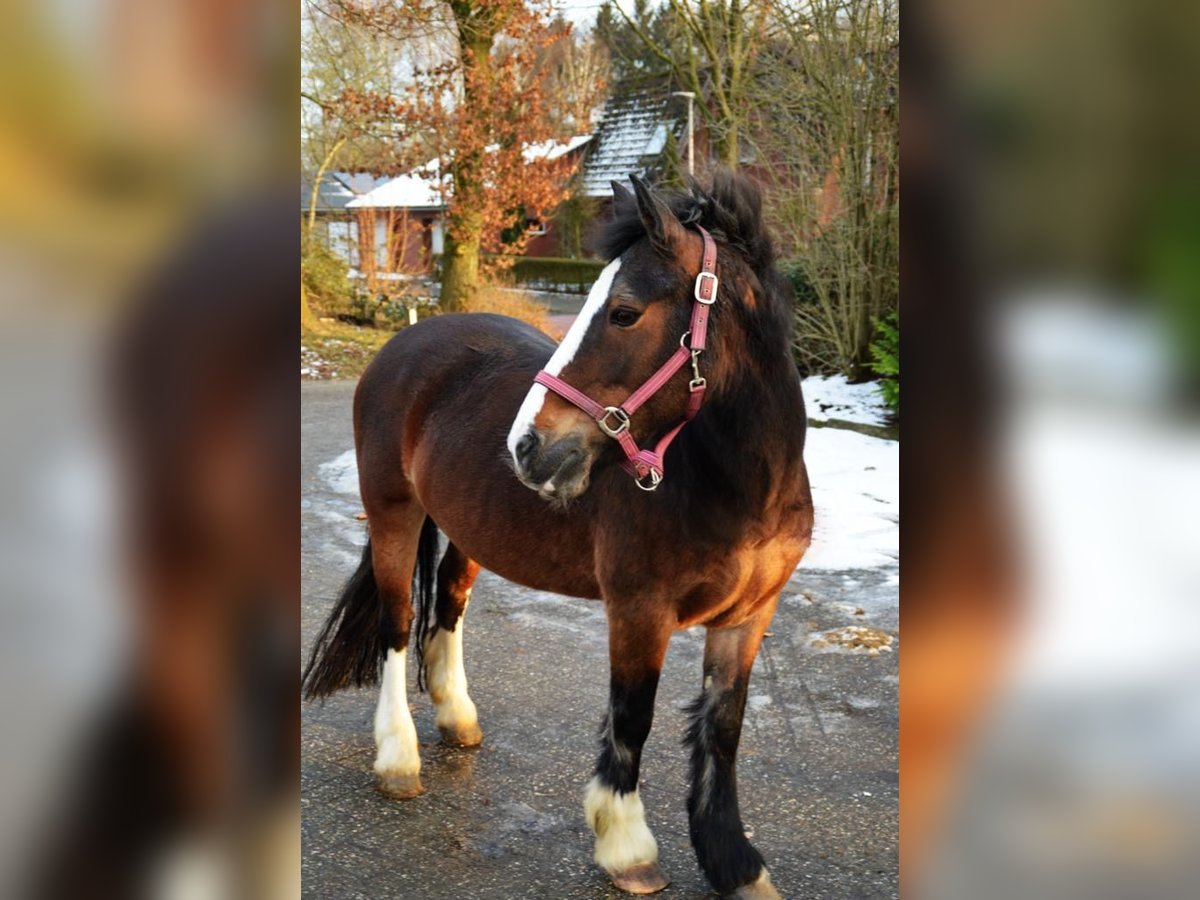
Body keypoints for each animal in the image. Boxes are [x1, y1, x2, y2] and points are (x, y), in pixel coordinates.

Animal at [302, 170, 816, 900]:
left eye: (624, 312)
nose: (527, 447)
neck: (736, 484)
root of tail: (402, 345)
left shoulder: (749, 618)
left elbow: (723, 728)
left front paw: (735, 864)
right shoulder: (639, 610)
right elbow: (632, 717)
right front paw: (627, 847)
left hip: (469, 530)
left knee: (448, 606)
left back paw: (458, 718)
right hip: (392, 513)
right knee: (398, 626)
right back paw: (398, 757)